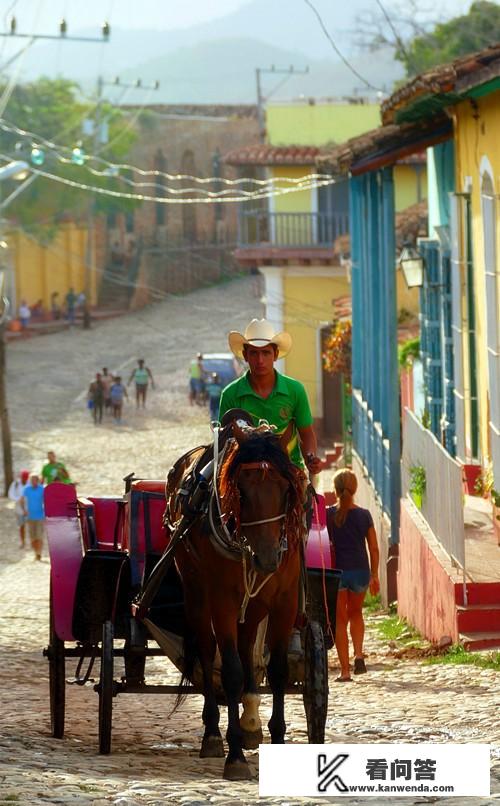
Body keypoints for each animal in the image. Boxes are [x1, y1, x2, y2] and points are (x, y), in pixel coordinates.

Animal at [170, 422, 306, 784]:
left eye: (286, 490)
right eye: (241, 492)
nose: (267, 558)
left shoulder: (285, 601)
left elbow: (277, 669)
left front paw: (274, 736)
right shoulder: (223, 602)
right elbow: (230, 671)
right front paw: (234, 756)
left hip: (255, 605)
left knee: (247, 650)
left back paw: (250, 724)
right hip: (196, 594)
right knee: (206, 651)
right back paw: (213, 734)